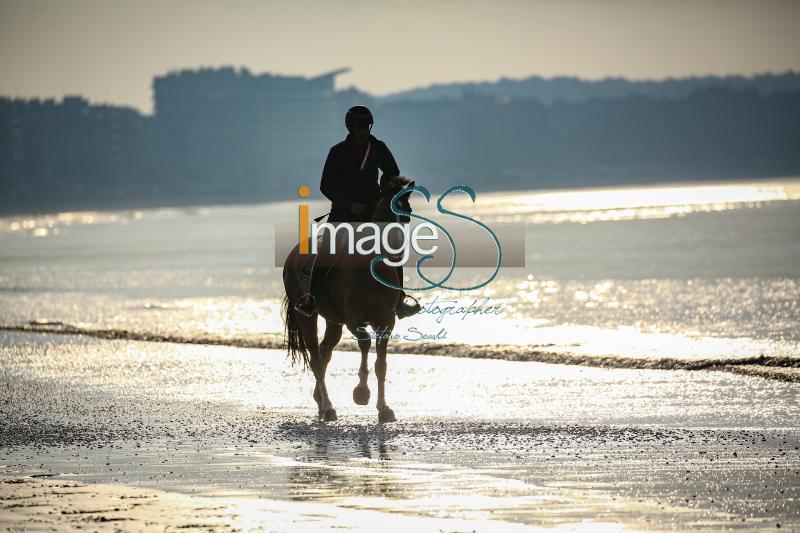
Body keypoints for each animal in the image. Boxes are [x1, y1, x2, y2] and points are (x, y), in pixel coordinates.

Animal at [282, 177, 416, 422]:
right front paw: (361, 392)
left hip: (333, 321)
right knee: (316, 358)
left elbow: (381, 364)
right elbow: (364, 344)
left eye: (408, 213)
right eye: (386, 211)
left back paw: (320, 401)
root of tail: (293, 255)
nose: (397, 251)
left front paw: (384, 408)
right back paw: (328, 407)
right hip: (306, 316)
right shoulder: (355, 319)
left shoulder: (386, 322)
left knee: (325, 353)